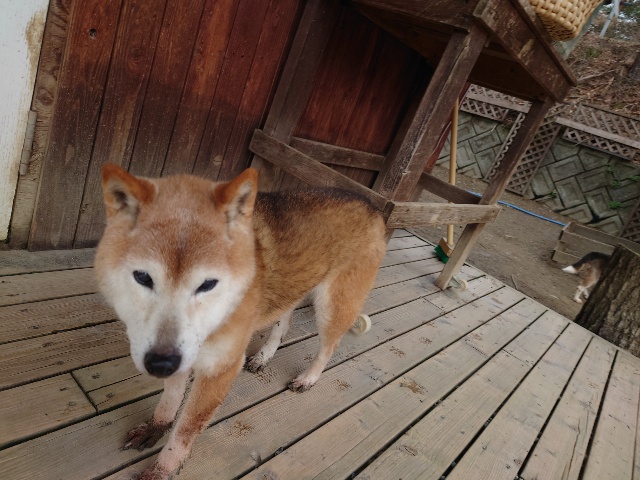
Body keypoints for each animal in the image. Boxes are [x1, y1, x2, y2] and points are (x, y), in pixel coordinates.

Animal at [94, 164, 387, 479]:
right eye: (143, 277)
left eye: (208, 284)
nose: (160, 364)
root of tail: (373, 205)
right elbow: (169, 402)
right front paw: (155, 428)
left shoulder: (220, 368)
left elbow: (185, 430)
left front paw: (161, 470)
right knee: (284, 322)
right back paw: (264, 355)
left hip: (334, 305)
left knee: (328, 347)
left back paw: (308, 378)